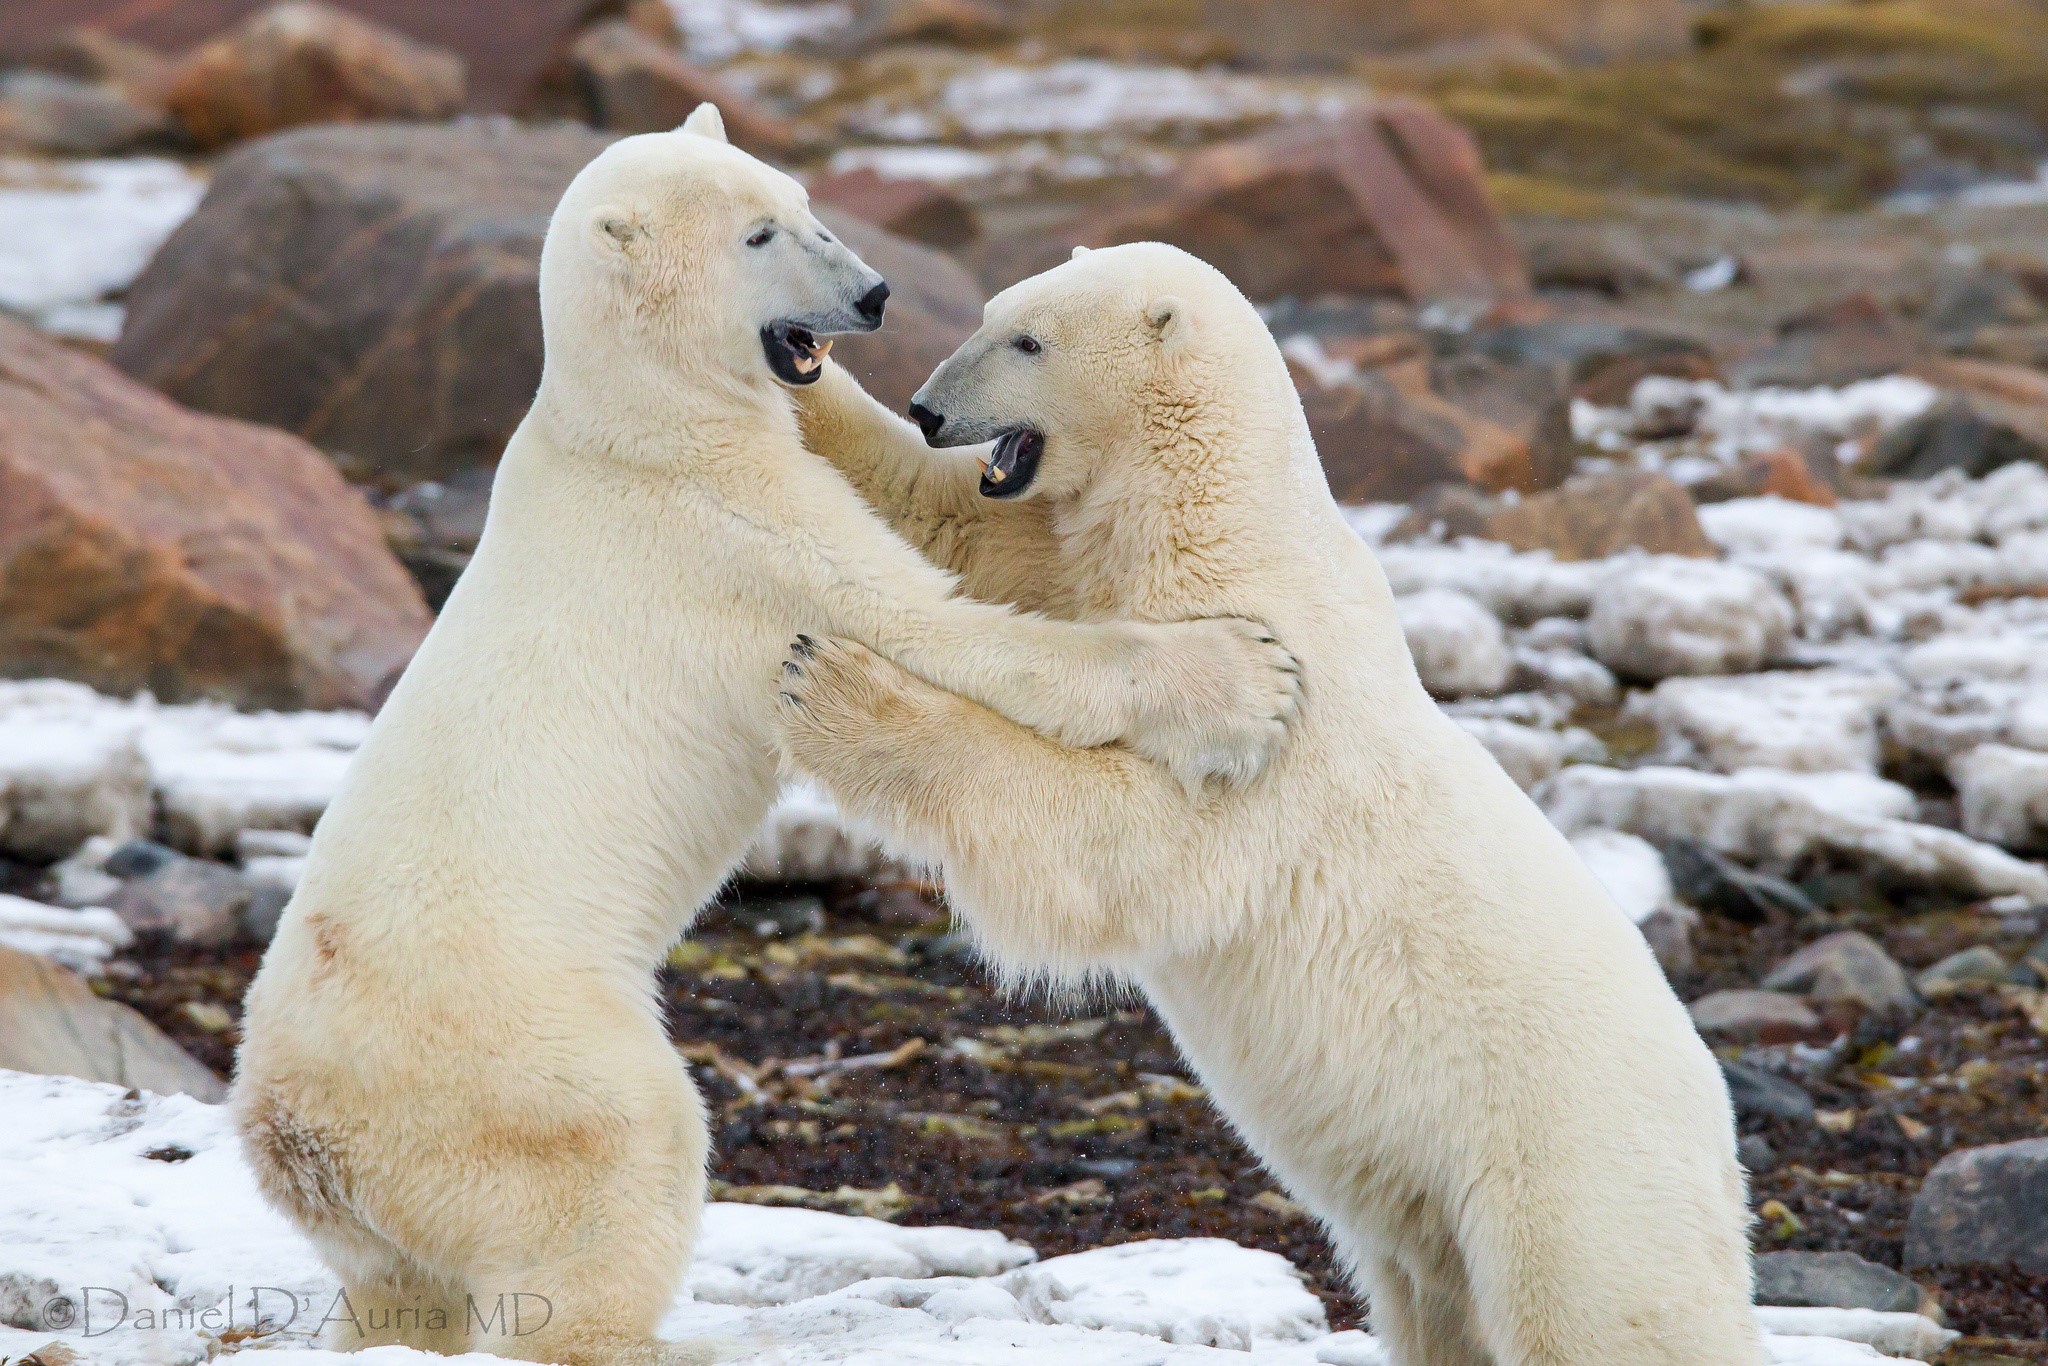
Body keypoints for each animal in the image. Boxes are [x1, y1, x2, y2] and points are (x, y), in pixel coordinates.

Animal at [231, 115, 1301, 1366]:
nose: (873, 295)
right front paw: (1243, 677)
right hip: (504, 1054)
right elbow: (939, 626)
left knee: (403, 1283)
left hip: (390, 1184)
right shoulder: (729, 532)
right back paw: (668, 1336)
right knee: (621, 1155)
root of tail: (294, 1132)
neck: (632, 427)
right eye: (756, 234)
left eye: (802, 205)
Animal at [775, 241, 1766, 1366]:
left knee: (1599, 1318)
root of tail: (1721, 1152)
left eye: (1027, 340)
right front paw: (801, 377)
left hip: (1571, 1177)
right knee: (1433, 1295)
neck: (1213, 518)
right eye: (990, 312)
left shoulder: (1276, 723)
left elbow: (1124, 837)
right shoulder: (1074, 554)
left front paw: (834, 685)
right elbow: (949, 521)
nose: (930, 404)